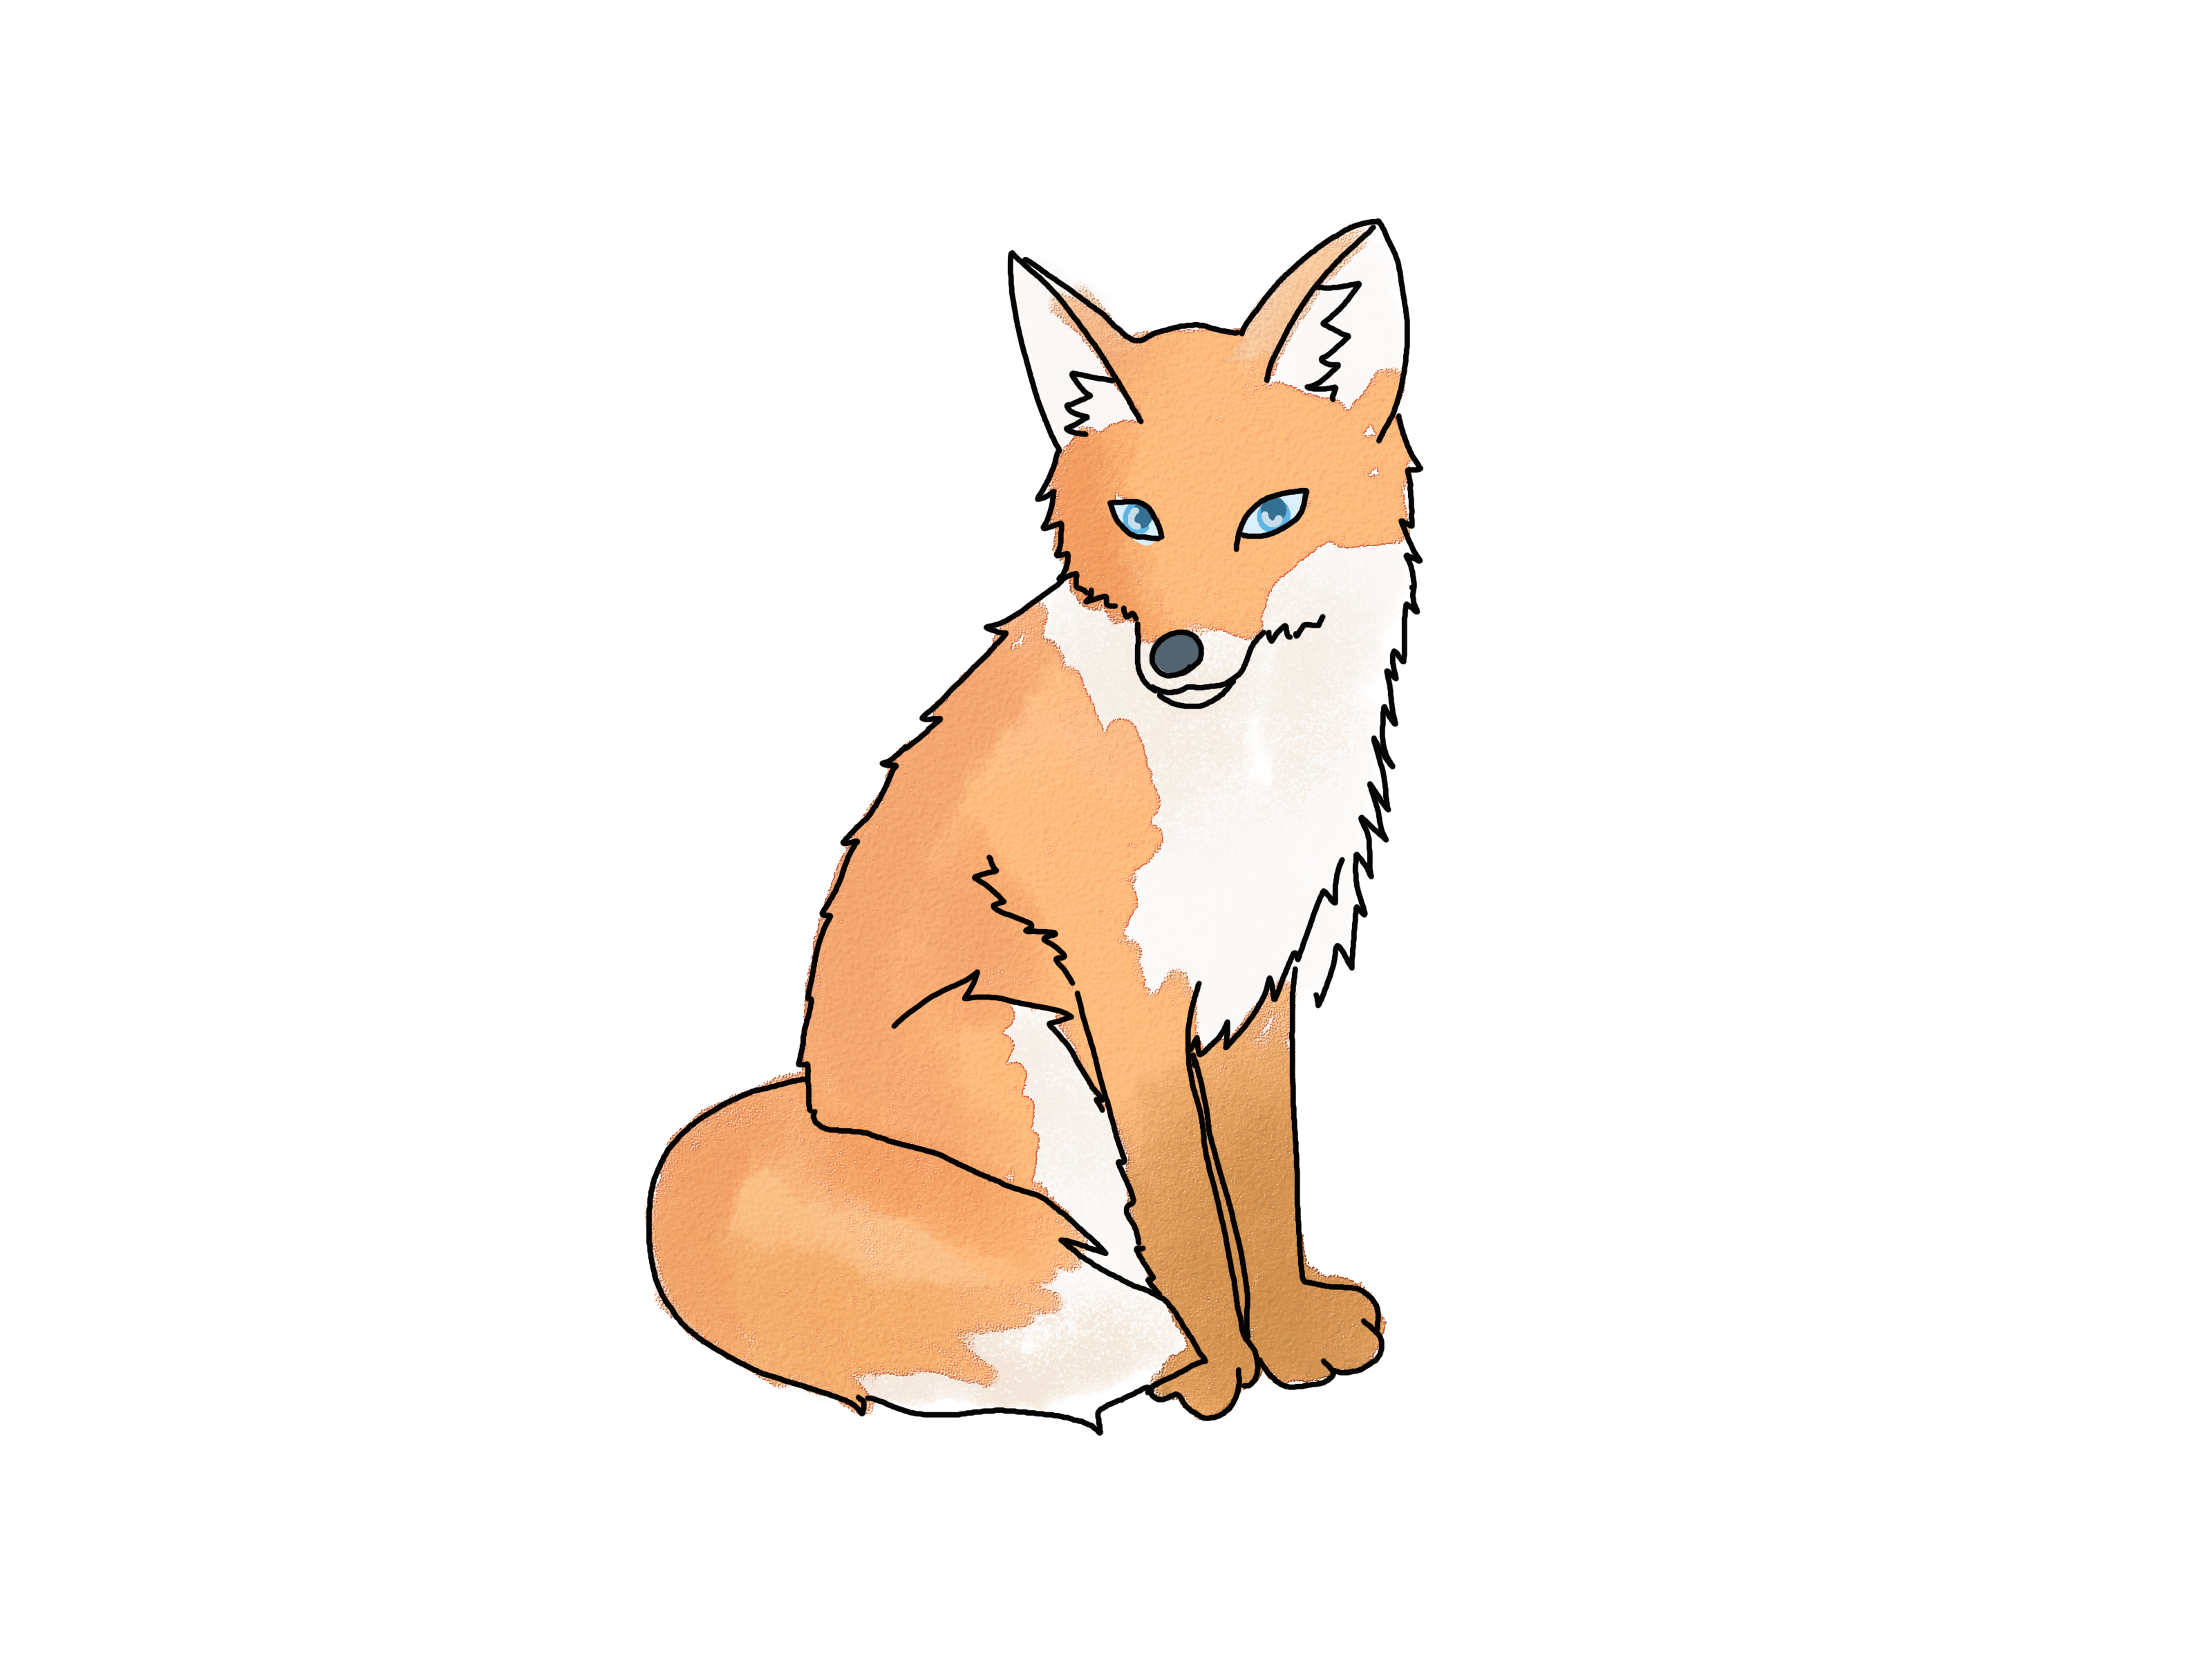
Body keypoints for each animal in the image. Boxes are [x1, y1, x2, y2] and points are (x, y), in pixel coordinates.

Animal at [648, 221, 1420, 1427]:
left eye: (1272, 514)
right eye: (1137, 520)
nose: (1177, 656)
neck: (1246, 766)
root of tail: (811, 1105)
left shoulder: (1255, 981)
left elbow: (1263, 1182)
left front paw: (1290, 1337)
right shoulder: (1125, 988)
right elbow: (1186, 1210)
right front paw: (1220, 1364)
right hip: (1030, 1050)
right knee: (1106, 1238)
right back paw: (1168, 1357)